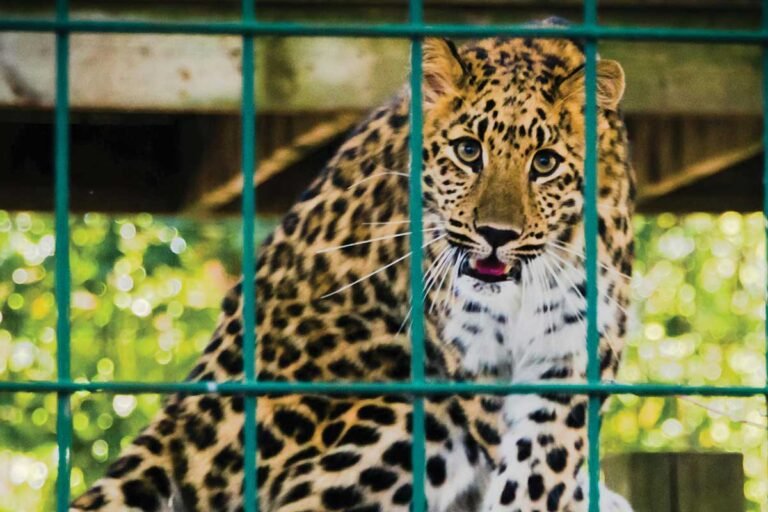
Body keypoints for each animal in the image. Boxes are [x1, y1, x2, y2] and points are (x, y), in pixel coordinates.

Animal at [71, 29, 636, 512]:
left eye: (544, 163)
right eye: (468, 151)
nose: (497, 234)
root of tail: (183, 418)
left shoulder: (571, 353)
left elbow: (543, 466)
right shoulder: (473, 367)